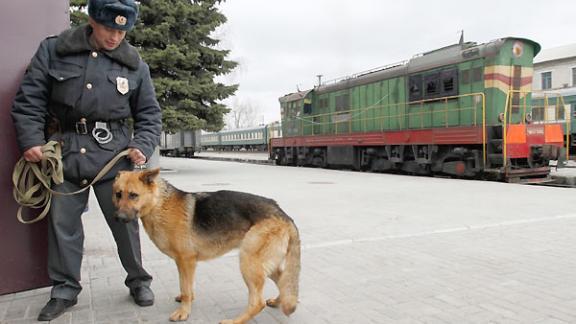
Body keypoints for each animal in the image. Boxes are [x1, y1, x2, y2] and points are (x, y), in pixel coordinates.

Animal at [111, 168, 302, 322]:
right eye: (118, 194)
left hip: (248, 262)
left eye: (133, 195)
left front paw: (183, 312)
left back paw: (235, 321)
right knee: (284, 279)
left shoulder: (185, 260)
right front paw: (188, 301)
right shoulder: (186, 263)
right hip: (262, 264)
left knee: (257, 303)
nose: (118, 218)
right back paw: (279, 301)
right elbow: (188, 286)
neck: (159, 203)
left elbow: (185, 288)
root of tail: (283, 214)